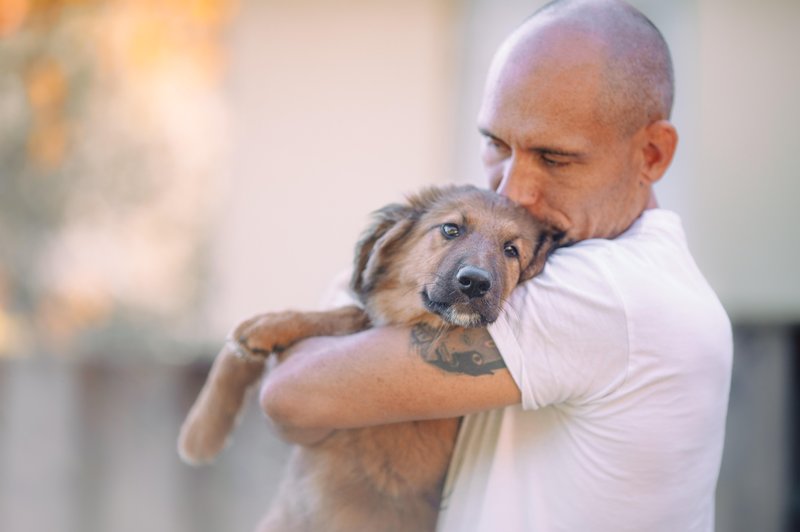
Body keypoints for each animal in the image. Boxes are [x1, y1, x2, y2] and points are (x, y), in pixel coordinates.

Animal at [180, 184, 556, 532]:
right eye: (451, 229)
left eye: (511, 251)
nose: (476, 283)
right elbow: (234, 356)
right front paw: (201, 432)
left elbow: (347, 314)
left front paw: (264, 327)